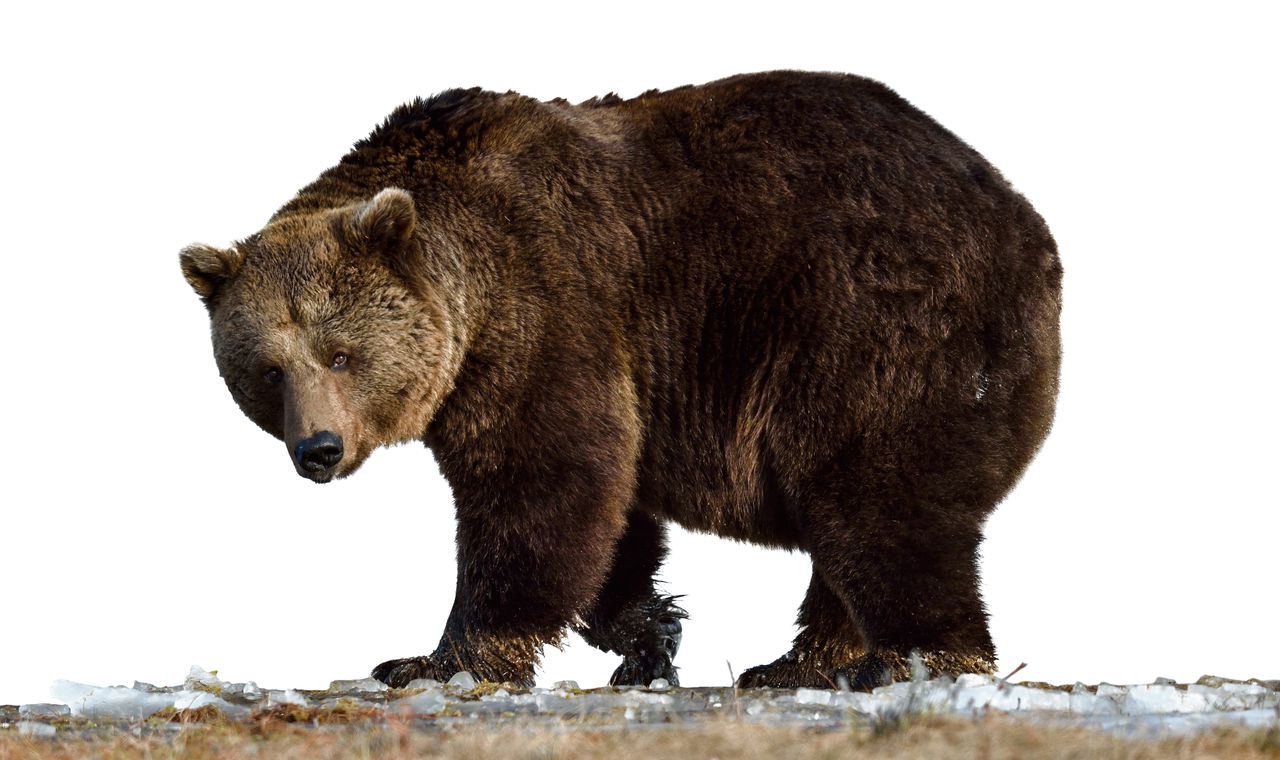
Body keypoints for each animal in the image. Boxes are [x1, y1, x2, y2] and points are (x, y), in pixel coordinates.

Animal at [177, 69, 1059, 685]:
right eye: (267, 370)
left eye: (340, 353)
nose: (318, 449)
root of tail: (1024, 215)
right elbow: (610, 513)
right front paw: (650, 636)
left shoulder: (548, 304)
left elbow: (545, 483)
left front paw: (433, 659)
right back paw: (800, 664)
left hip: (872, 324)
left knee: (877, 497)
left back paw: (909, 659)